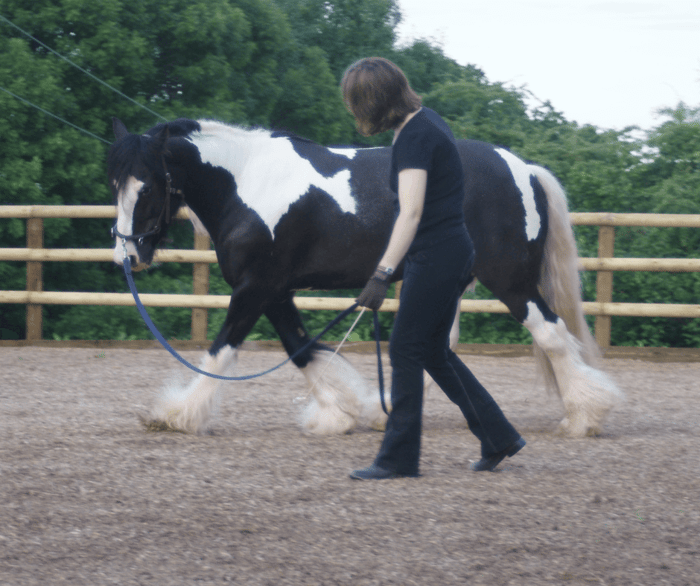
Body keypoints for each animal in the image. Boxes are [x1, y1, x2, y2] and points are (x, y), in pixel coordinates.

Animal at [108, 116, 622, 437]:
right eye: (115, 182)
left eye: (147, 186)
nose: (127, 255)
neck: (247, 183)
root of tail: (523, 169)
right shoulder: (275, 291)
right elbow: (301, 349)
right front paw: (338, 414)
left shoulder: (255, 288)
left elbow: (221, 351)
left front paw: (177, 415)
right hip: (449, 282)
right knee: (440, 346)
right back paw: (384, 411)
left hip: (511, 282)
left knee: (552, 335)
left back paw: (584, 418)